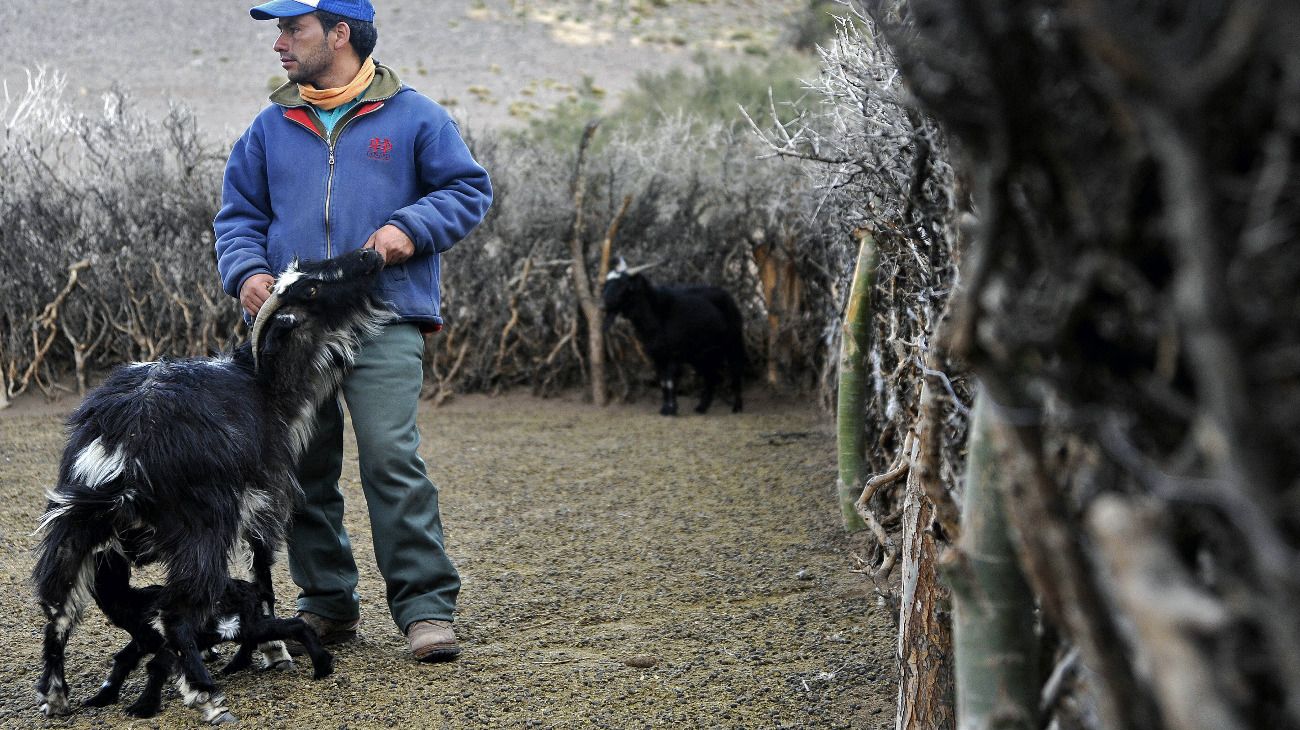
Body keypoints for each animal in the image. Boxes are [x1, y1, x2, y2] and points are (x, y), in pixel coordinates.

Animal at [32, 248, 390, 722]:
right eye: (311, 289)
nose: (370, 255)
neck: (264, 386)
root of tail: (120, 448)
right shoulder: (263, 503)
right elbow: (262, 576)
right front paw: (274, 650)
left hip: (82, 530)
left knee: (59, 607)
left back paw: (57, 696)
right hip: (203, 529)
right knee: (175, 613)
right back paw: (206, 696)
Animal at [598, 257, 743, 415]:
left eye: (623, 285)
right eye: (606, 283)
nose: (602, 306)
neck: (656, 313)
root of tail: (728, 296)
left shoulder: (674, 354)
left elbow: (670, 381)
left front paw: (671, 409)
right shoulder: (657, 355)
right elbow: (663, 382)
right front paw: (665, 408)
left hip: (732, 343)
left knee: (735, 371)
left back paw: (737, 407)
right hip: (702, 353)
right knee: (711, 376)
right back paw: (702, 407)